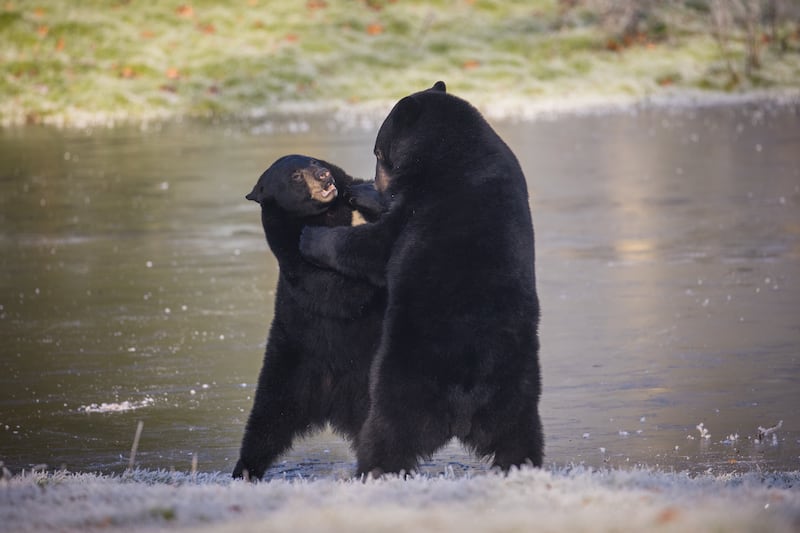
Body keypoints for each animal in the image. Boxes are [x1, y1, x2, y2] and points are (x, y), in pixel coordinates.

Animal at [233, 153, 386, 478]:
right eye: (295, 176)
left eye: (314, 162)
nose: (324, 175)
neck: (327, 216)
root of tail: (330, 402)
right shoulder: (295, 262)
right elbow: (336, 289)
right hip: (286, 369)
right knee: (265, 422)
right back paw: (245, 468)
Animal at [300, 82, 544, 474]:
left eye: (378, 150)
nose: (377, 176)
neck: (452, 150)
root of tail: (465, 403)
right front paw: (361, 191)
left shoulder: (425, 201)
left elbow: (377, 247)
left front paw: (312, 237)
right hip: (517, 396)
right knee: (520, 439)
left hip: (403, 380)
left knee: (386, 433)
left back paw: (370, 469)